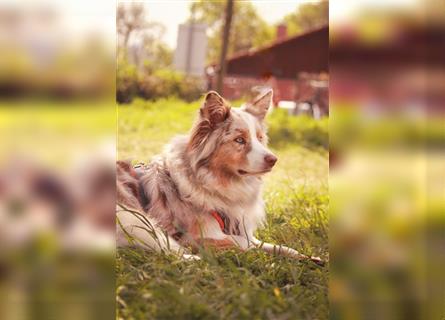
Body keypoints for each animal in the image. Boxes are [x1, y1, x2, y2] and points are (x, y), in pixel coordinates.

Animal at [116, 89, 320, 264]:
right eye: (239, 140)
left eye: (260, 138)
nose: (273, 160)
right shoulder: (197, 236)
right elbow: (244, 244)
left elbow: (273, 246)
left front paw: (308, 257)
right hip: (137, 219)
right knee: (170, 250)